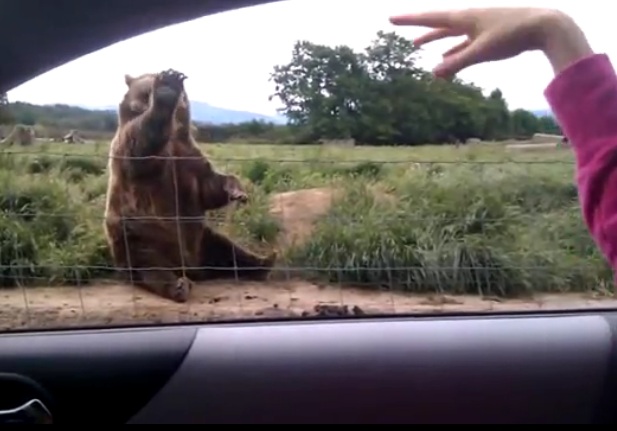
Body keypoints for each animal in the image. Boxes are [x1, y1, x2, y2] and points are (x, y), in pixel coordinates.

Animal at [104, 68, 276, 304]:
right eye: (145, 92)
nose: (154, 94)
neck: (173, 132)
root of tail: (190, 266)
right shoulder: (130, 152)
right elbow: (139, 146)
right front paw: (167, 88)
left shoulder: (189, 156)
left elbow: (209, 186)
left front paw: (238, 192)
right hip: (137, 238)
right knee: (150, 268)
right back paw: (178, 286)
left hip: (202, 239)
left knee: (227, 250)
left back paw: (265, 262)